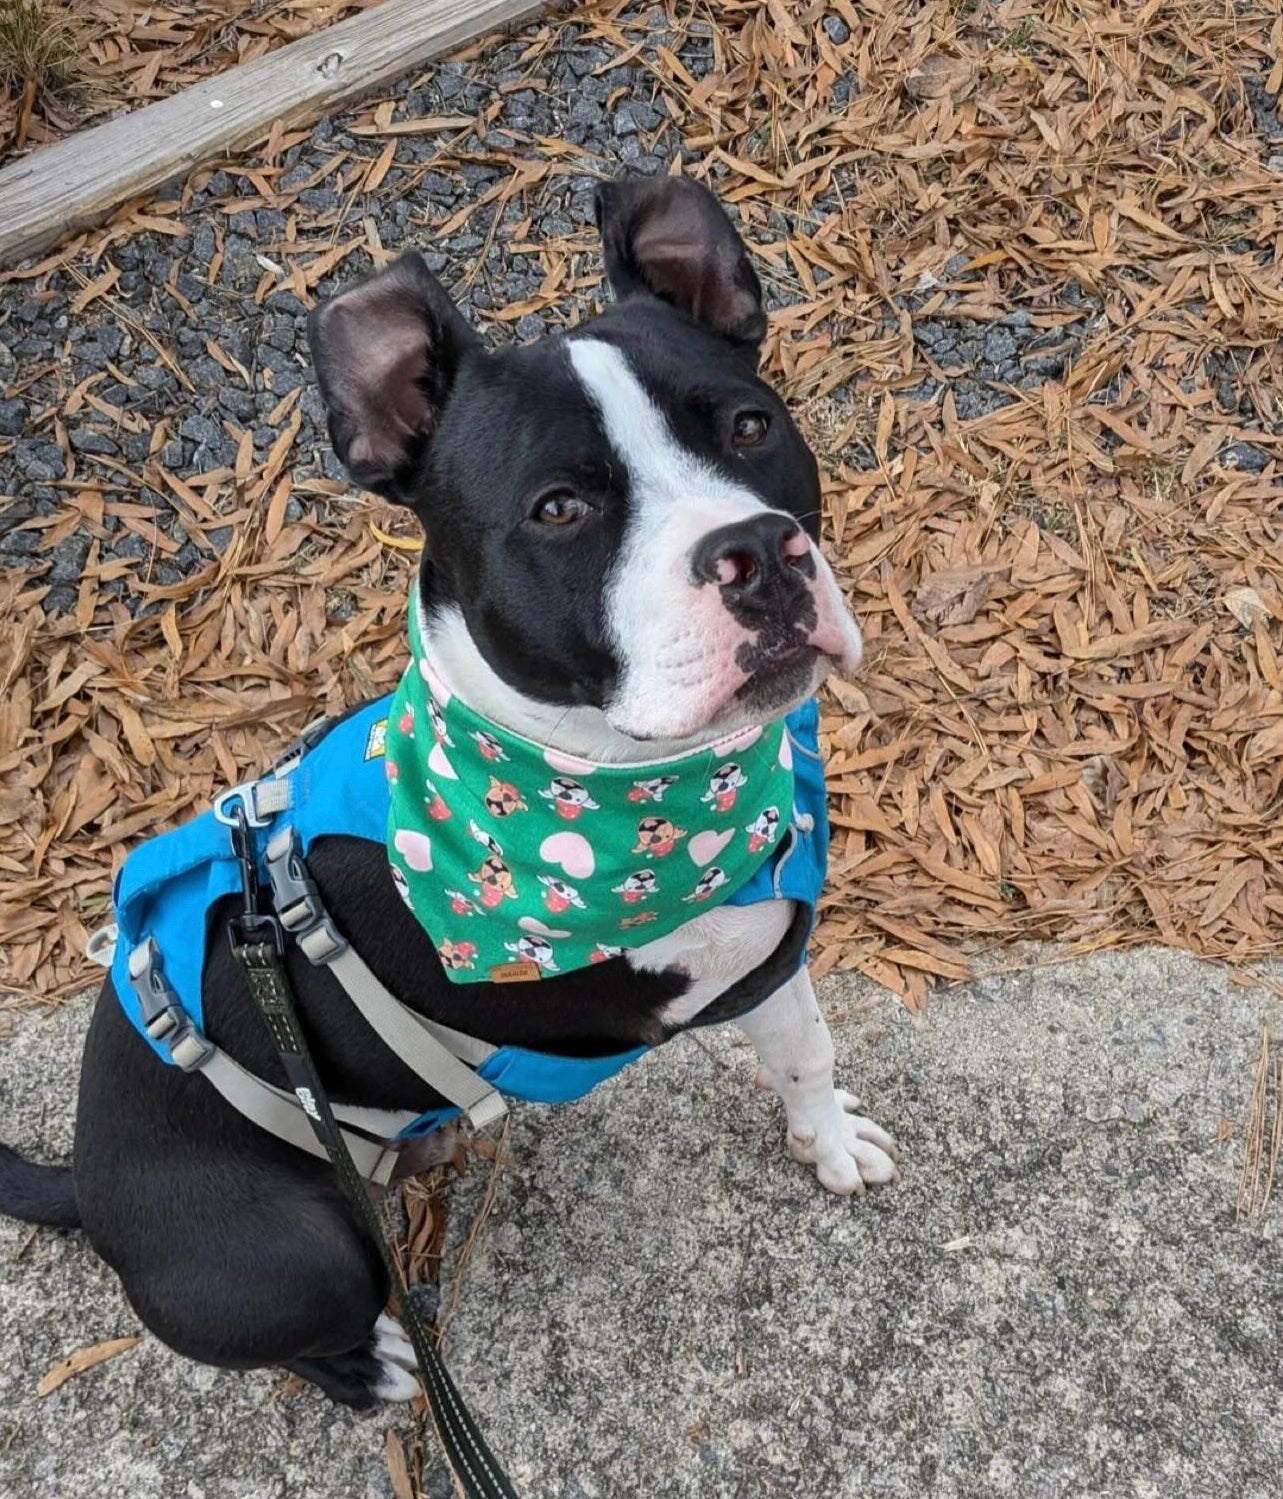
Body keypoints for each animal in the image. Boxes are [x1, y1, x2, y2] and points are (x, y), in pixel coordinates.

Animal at [0, 175, 899, 1403]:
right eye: (560, 508)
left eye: (751, 428)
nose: (759, 551)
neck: (596, 781)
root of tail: (85, 1192)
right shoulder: (727, 970)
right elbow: (789, 1038)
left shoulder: (770, 938)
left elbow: (807, 1047)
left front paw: (827, 1138)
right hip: (297, 1252)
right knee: (319, 1316)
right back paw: (374, 1362)